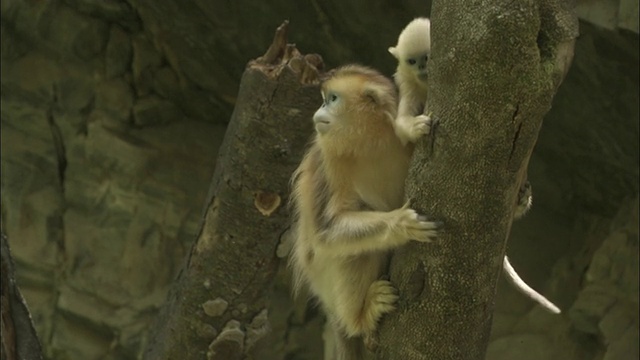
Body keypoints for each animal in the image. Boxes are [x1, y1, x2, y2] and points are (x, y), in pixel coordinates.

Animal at [290, 65, 440, 360]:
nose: (319, 110)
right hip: (326, 281)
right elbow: (325, 232)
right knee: (358, 250)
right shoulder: (329, 158)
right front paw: (401, 223)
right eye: (325, 99)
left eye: (332, 99)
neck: (373, 143)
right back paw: (362, 317)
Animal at [388, 17, 556, 316]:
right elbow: (402, 124)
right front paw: (418, 126)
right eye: (412, 61)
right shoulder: (408, 84)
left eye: (427, 57)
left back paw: (522, 198)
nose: (423, 69)